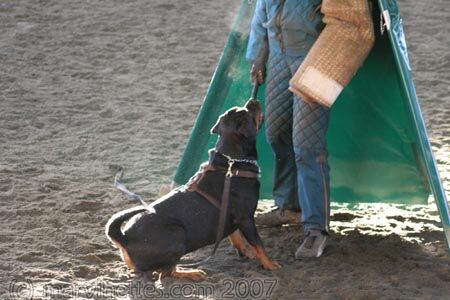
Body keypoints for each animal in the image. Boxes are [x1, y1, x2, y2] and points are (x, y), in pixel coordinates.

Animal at [107, 99, 280, 280]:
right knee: (166, 273)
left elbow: (237, 238)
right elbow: (258, 243)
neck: (231, 161)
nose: (253, 100)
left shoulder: (231, 218)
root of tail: (124, 238)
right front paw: (270, 264)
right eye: (248, 112)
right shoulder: (245, 217)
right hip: (177, 235)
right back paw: (191, 272)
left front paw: (248, 254)